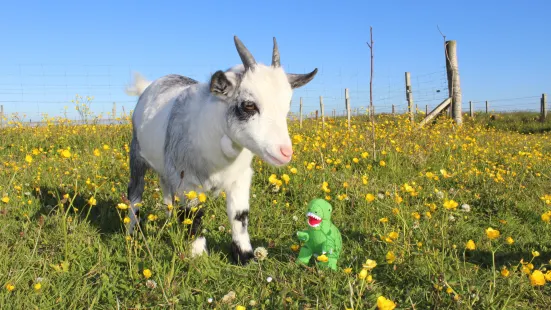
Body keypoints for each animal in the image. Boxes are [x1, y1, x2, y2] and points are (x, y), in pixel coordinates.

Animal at [123, 35, 316, 264]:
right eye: (249, 105)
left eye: (287, 105)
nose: (285, 152)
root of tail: (149, 86)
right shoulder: (187, 183)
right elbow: (193, 217)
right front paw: (199, 258)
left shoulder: (240, 177)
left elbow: (239, 215)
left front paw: (245, 256)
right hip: (137, 154)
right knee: (135, 193)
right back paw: (131, 232)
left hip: (165, 167)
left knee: (167, 192)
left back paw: (169, 223)